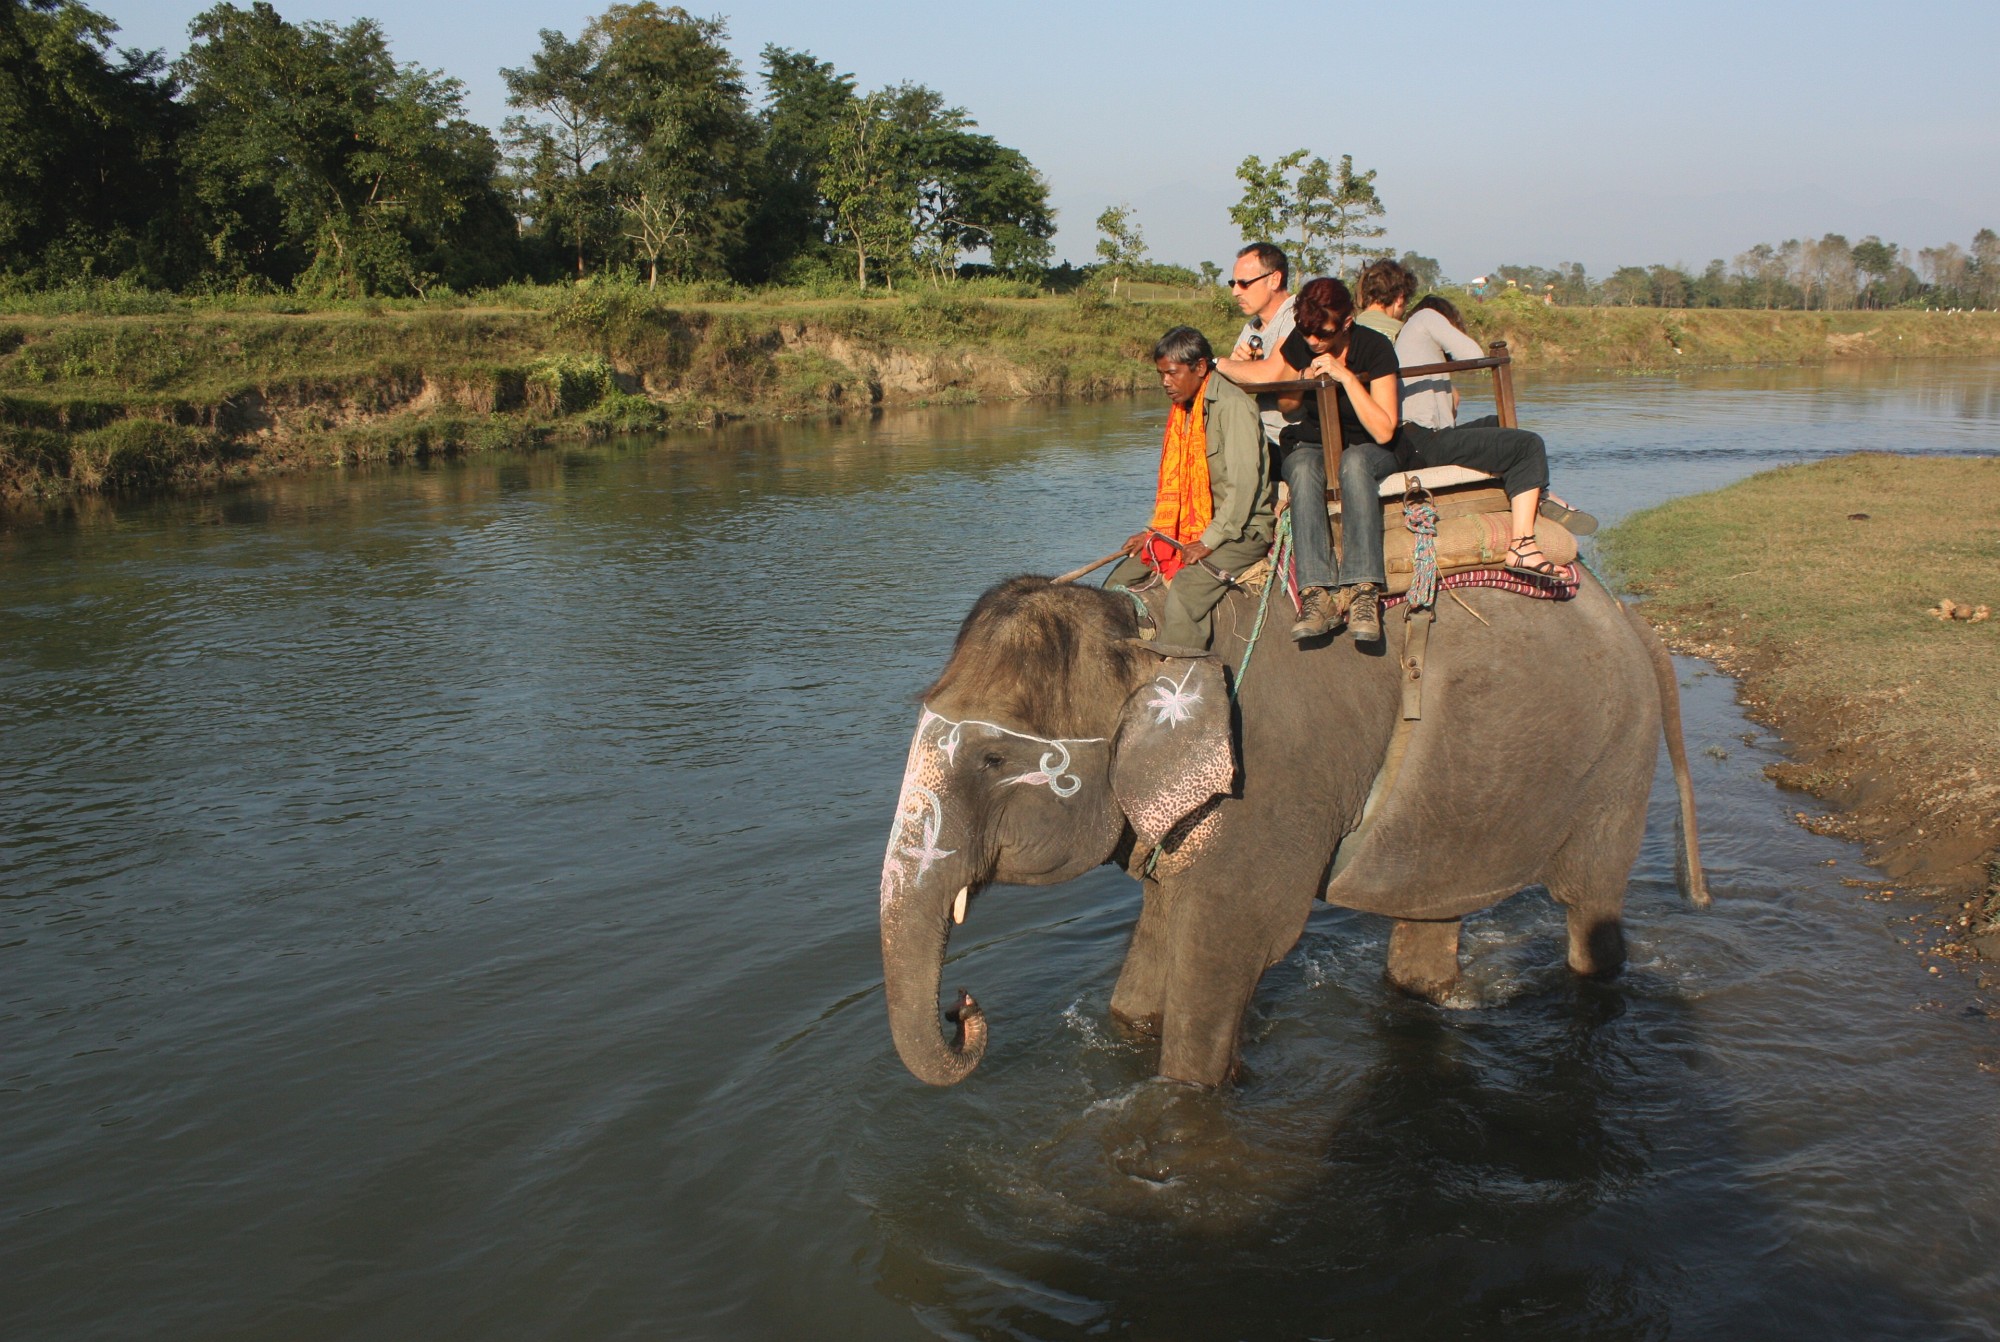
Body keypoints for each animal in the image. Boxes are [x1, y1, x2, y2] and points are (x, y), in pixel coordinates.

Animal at [877, 568, 1707, 1089]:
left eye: (991, 759)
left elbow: (1231, 944)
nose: (964, 1009)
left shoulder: (1267, 782)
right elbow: (1152, 949)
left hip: (1615, 771)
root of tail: (1635, 620)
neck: (1146, 627)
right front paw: (1134, 1024)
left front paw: (1185, 1092)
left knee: (1588, 910)